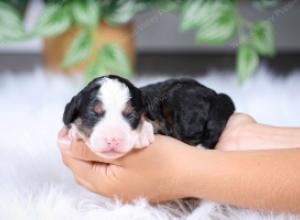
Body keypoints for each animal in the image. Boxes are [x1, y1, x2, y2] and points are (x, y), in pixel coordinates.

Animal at [62, 75, 234, 159]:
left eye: (131, 115)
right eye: (94, 113)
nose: (113, 140)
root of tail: (216, 95)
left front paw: (142, 134)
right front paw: (75, 131)